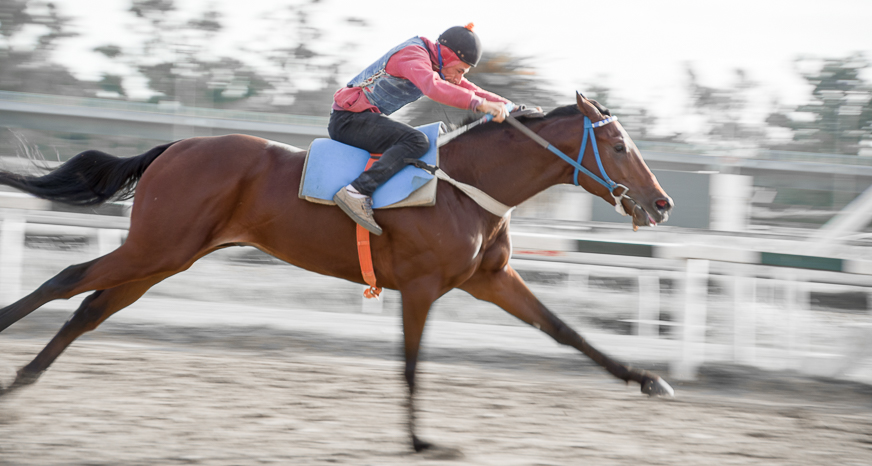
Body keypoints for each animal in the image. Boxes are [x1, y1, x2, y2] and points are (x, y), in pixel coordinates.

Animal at [0, 93, 674, 453]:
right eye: (619, 147)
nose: (663, 202)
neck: (464, 186)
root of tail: (176, 146)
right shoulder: (422, 287)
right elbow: (411, 364)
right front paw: (420, 441)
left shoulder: (491, 279)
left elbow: (565, 331)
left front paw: (646, 379)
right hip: (155, 247)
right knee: (68, 277)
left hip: (167, 255)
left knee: (90, 308)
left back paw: (23, 381)